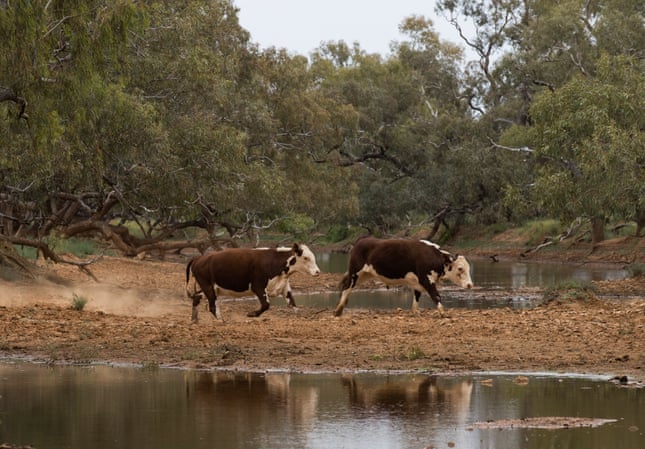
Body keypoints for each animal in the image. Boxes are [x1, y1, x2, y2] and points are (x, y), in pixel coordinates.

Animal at [186, 243, 320, 322]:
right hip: (208, 287)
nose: (317, 272)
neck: (273, 261)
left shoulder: (284, 287)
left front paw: (301, 317)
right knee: (212, 306)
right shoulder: (258, 287)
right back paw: (221, 321)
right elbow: (266, 304)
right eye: (306, 258)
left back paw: (194, 319)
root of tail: (198, 258)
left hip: (211, 288)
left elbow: (293, 303)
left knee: (197, 297)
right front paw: (252, 314)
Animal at [334, 237, 473, 317]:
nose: (470, 285)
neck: (434, 257)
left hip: (364, 275)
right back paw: (338, 310)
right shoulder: (427, 279)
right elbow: (436, 295)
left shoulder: (418, 282)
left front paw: (415, 312)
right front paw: (443, 312)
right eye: (460, 268)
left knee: (347, 287)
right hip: (355, 273)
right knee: (347, 287)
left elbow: (416, 296)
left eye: (468, 268)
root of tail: (361, 240)